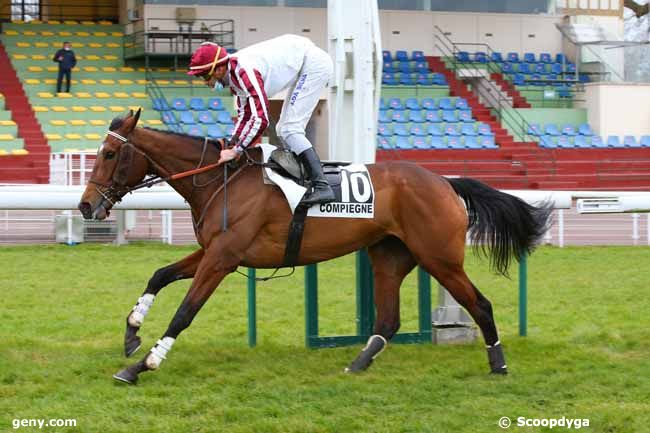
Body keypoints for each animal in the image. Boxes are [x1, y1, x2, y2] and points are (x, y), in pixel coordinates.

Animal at [77, 109, 552, 384]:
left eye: (108, 155)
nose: (85, 205)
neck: (221, 180)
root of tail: (446, 182)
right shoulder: (214, 252)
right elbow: (159, 275)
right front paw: (131, 333)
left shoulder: (222, 258)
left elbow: (184, 312)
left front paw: (141, 365)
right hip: (390, 256)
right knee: (389, 319)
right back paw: (359, 363)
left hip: (440, 258)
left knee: (481, 304)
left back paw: (498, 363)